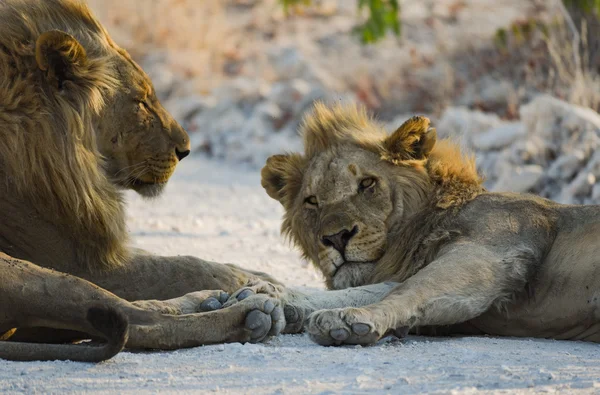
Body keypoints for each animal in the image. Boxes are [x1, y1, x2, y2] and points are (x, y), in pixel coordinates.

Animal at [0, 0, 282, 362]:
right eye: (141, 101)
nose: (186, 150)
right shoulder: (79, 262)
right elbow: (181, 267)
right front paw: (262, 282)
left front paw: (259, 276)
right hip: (30, 272)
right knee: (139, 322)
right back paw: (249, 313)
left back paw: (210, 300)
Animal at [244, 103, 600, 346]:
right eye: (312, 201)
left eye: (367, 184)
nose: (336, 238)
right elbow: (365, 290)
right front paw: (270, 296)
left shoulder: (492, 253)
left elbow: (407, 290)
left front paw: (348, 319)